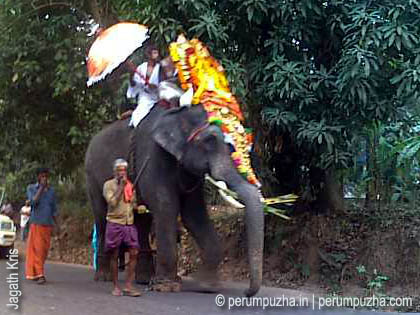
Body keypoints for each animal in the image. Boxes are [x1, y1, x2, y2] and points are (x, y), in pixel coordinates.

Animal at [83, 90, 264, 296]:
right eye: (210, 141)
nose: (247, 293)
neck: (177, 111)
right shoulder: (153, 155)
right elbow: (166, 207)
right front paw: (166, 287)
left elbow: (193, 213)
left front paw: (208, 287)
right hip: (91, 175)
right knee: (102, 217)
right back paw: (104, 277)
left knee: (141, 221)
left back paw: (143, 279)